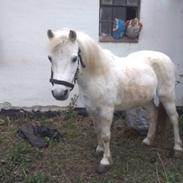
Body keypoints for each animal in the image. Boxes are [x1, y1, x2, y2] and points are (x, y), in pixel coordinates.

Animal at [46, 28, 182, 173]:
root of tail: (165, 57)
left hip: (167, 96)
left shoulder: (106, 110)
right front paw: (99, 149)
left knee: (174, 118)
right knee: (153, 114)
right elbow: (98, 130)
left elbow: (106, 135)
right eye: (50, 58)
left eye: (74, 58)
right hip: (146, 99)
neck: (98, 74)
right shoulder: (91, 109)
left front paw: (105, 161)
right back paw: (148, 140)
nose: (59, 93)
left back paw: (177, 148)